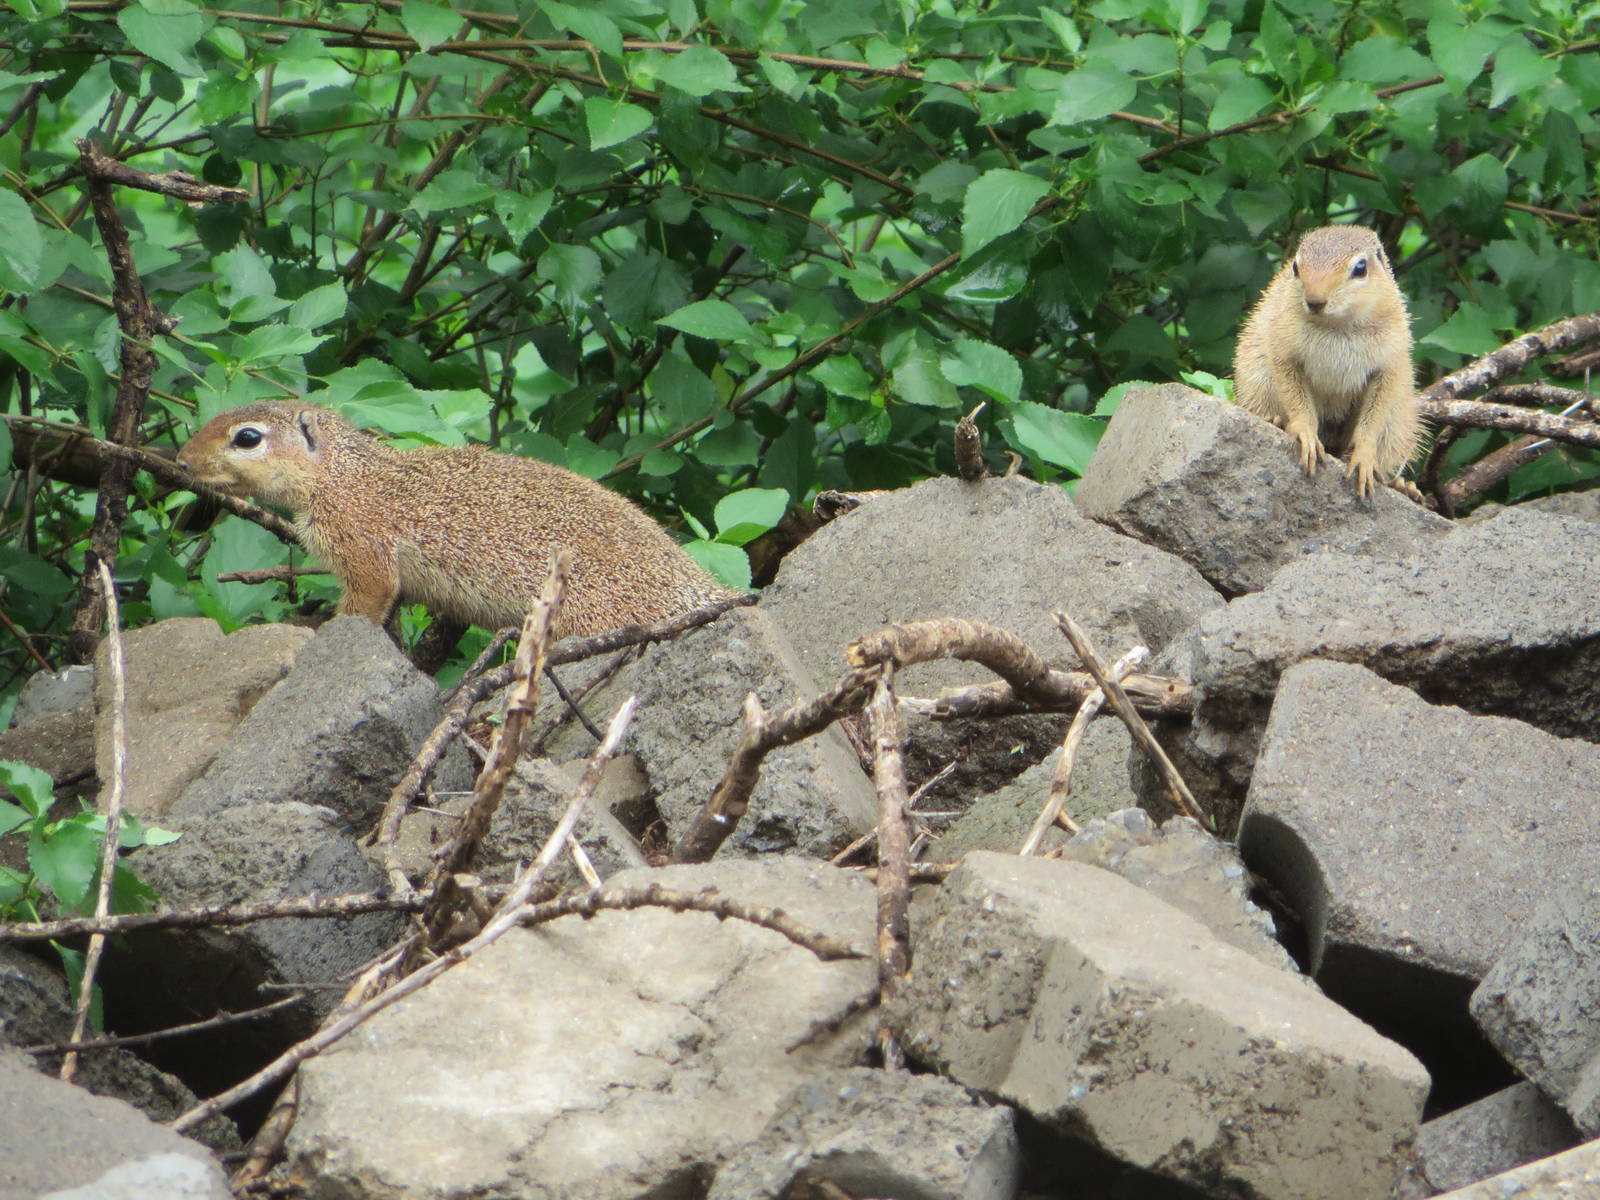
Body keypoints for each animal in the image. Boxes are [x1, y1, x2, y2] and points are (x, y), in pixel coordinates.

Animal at [177, 402, 732, 636]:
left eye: (248, 437)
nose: (181, 461)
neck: (349, 478)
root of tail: (702, 589)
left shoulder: (365, 551)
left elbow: (361, 607)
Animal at [1233, 225, 1422, 498]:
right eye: (1295, 267)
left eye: (1360, 268)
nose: (1315, 300)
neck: (1338, 326)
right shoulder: (1283, 349)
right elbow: (1295, 399)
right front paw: (1306, 433)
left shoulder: (1390, 365)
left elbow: (1375, 416)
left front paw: (1364, 456)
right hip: (1256, 383)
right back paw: (1274, 420)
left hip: (1398, 422)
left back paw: (1404, 486)